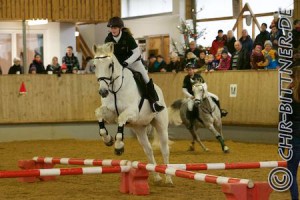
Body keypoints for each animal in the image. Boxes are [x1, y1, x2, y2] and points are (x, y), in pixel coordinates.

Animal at [92, 43, 172, 184]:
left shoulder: (132, 112)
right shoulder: (111, 114)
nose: (103, 92)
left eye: (110, 65)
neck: (115, 89)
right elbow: (99, 114)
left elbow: (121, 119)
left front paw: (118, 146)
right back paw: (157, 177)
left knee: (164, 150)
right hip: (139, 129)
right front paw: (108, 139)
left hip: (161, 126)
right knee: (148, 150)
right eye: (95, 65)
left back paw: (168, 178)